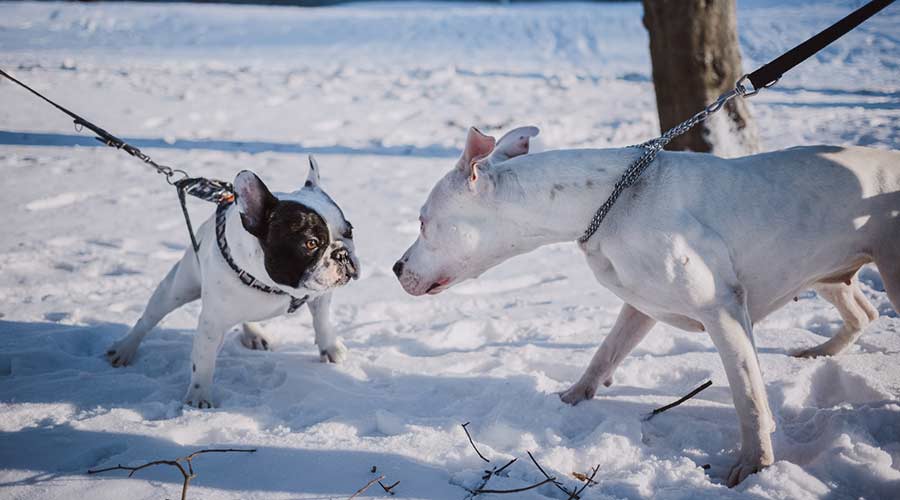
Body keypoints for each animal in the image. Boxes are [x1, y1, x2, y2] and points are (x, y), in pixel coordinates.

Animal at [106, 158, 358, 408]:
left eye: (350, 231)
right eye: (311, 243)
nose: (343, 254)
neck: (273, 285)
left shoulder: (321, 294)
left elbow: (322, 321)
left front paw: (331, 349)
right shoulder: (212, 323)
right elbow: (204, 360)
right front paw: (198, 398)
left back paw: (254, 334)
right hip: (178, 288)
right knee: (148, 319)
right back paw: (124, 349)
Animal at [396, 127, 900, 486]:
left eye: (422, 221)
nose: (397, 267)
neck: (601, 203)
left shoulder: (723, 310)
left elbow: (748, 395)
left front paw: (754, 466)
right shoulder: (638, 306)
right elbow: (605, 353)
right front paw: (570, 400)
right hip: (826, 271)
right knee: (863, 312)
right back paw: (818, 353)